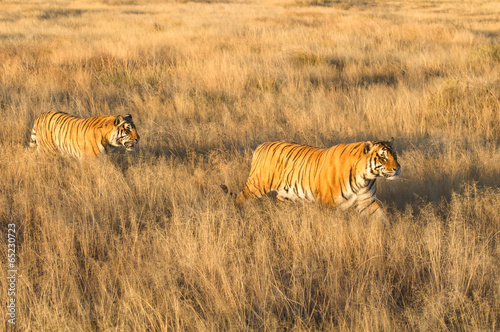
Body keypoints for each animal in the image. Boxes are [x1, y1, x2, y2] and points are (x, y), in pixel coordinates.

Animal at [232, 137, 400, 223]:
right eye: (383, 157)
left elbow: (381, 217)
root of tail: (262, 145)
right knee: (241, 197)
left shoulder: (367, 202)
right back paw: (238, 215)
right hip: (257, 185)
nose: (397, 168)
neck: (365, 178)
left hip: (285, 196)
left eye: (395, 155)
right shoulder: (327, 203)